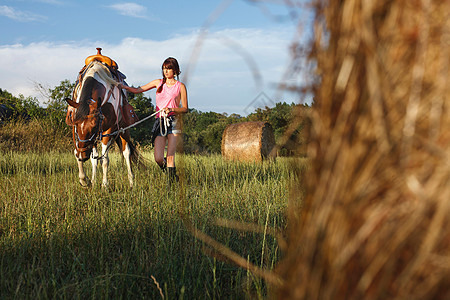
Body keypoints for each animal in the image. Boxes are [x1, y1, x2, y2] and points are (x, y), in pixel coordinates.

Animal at [65, 54, 141, 188]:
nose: (82, 156)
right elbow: (80, 153)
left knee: (127, 153)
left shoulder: (107, 130)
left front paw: (104, 185)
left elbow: (105, 160)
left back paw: (131, 182)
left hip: (123, 130)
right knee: (94, 158)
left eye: (94, 127)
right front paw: (85, 180)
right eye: (76, 124)